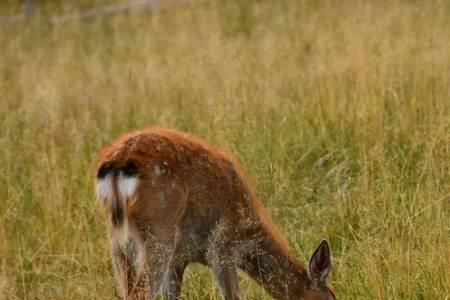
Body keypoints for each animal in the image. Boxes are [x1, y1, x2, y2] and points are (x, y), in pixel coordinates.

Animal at [93, 125, 336, 298]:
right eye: (331, 299)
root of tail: (120, 162)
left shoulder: (179, 259)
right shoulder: (222, 246)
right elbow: (234, 296)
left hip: (117, 239)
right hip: (159, 230)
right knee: (140, 293)